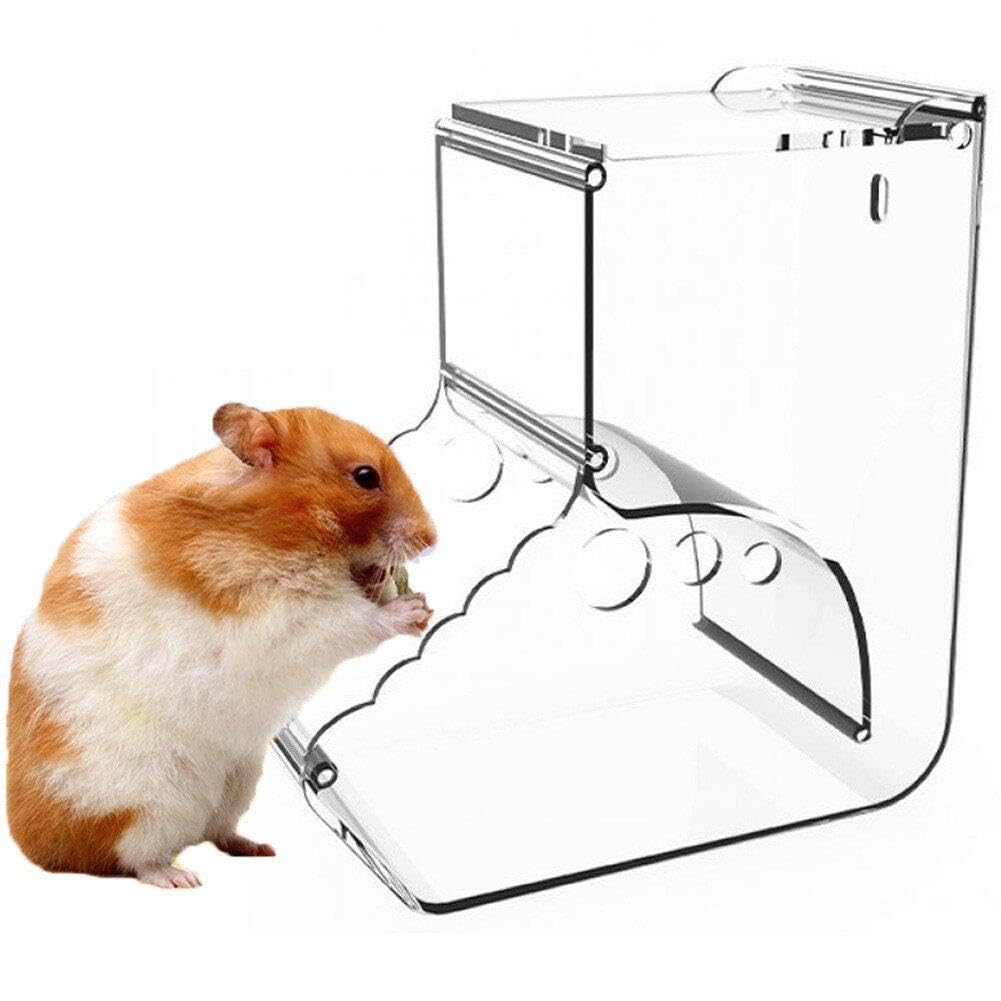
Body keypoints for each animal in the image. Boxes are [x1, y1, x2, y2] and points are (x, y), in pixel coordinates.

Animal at [6, 403, 436, 888]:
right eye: (365, 477)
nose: (433, 538)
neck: (285, 527)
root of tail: (40, 847)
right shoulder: (287, 618)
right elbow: (355, 622)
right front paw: (414, 612)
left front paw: (408, 595)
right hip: (145, 801)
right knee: (132, 858)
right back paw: (179, 879)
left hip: (239, 779)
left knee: (217, 832)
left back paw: (259, 848)